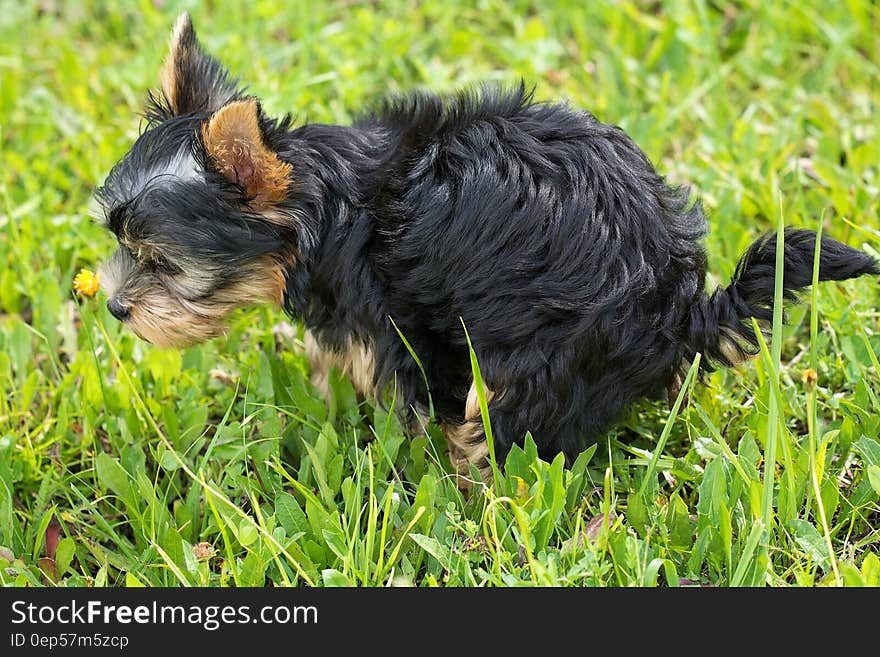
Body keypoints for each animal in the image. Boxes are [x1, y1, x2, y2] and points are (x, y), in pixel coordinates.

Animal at [96, 14, 872, 486]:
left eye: (163, 263)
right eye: (120, 242)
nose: (114, 307)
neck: (326, 203)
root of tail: (679, 309)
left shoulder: (397, 323)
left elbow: (402, 392)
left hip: (541, 355)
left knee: (505, 425)